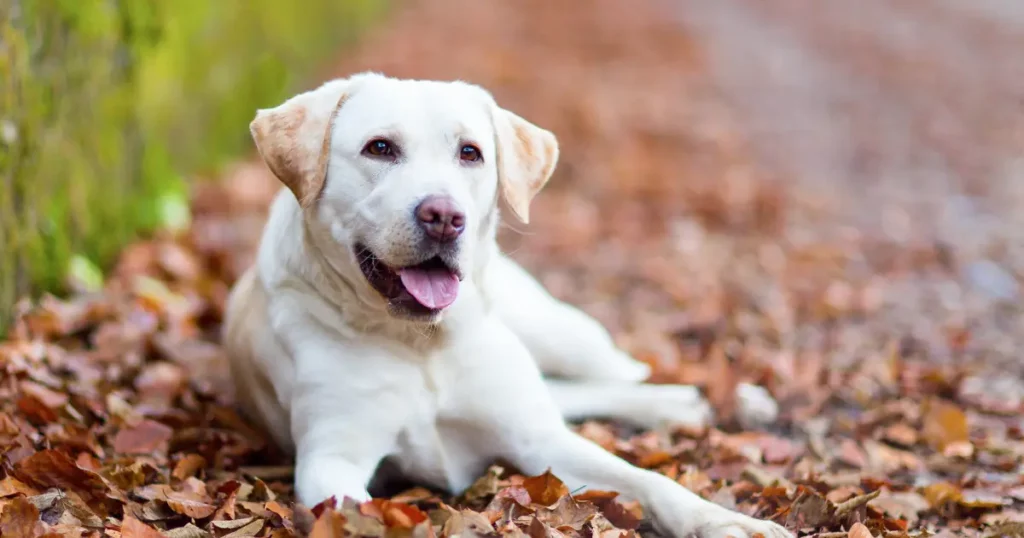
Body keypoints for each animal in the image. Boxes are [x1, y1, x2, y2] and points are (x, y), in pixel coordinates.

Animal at [224, 72, 790, 536]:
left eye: (470, 153)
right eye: (379, 148)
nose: (444, 216)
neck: (422, 344)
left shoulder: (541, 442)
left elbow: (647, 479)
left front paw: (727, 521)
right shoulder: (331, 460)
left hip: (560, 333)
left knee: (621, 372)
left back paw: (721, 399)